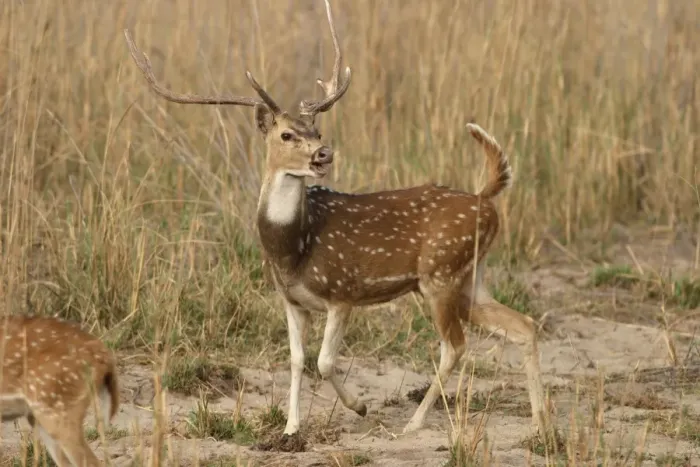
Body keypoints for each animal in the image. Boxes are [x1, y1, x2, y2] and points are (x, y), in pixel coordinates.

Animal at [123, 0, 546, 440]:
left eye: (317, 130)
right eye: (287, 135)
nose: (323, 154)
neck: (293, 249)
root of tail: (485, 198)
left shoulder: (342, 291)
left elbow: (324, 361)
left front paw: (359, 406)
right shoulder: (291, 300)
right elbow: (295, 359)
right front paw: (291, 428)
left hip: (440, 273)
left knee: (455, 346)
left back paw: (414, 423)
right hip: (470, 275)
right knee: (525, 324)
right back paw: (539, 422)